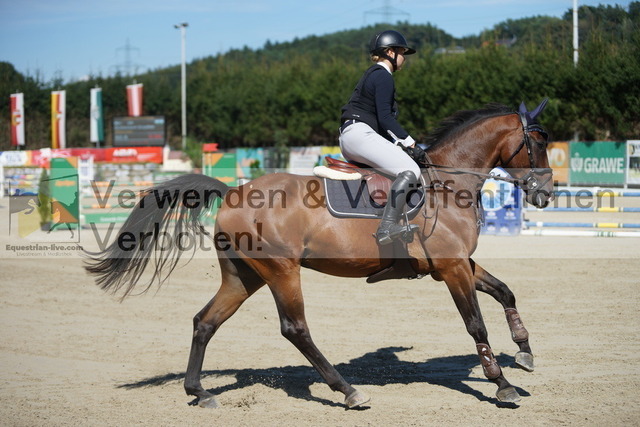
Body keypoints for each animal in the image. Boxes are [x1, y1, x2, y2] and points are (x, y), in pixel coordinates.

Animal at [86, 99, 556, 408]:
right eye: (537, 143)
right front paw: (501, 384)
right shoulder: (453, 267)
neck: (447, 182)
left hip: (244, 276)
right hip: (281, 271)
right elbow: (476, 323)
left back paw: (199, 392)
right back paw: (346, 390)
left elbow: (505, 291)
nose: (546, 193)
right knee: (295, 329)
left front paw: (525, 351)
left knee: (206, 321)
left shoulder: (457, 264)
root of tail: (234, 191)